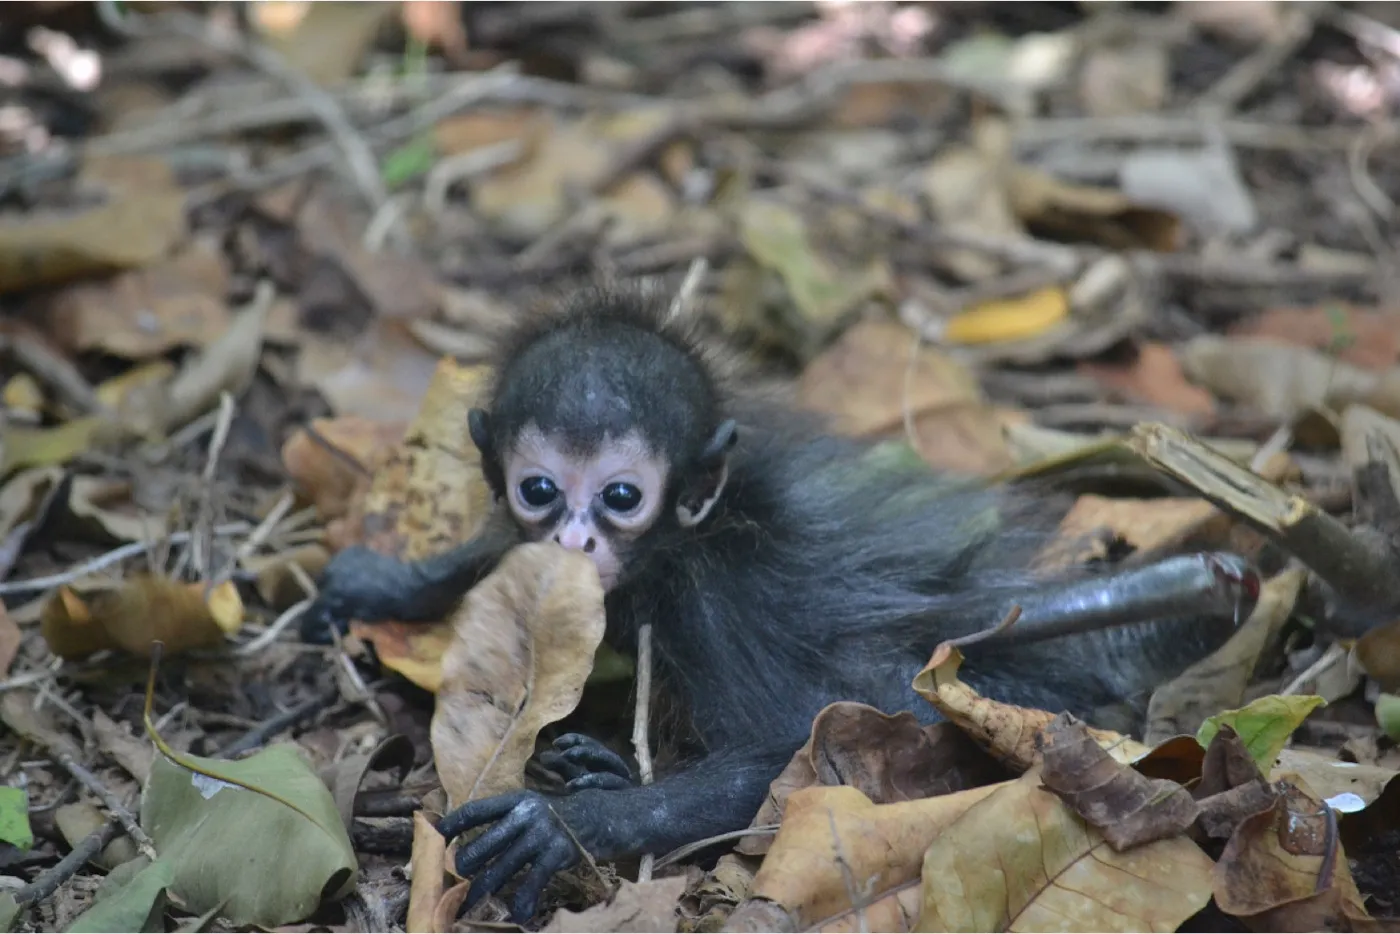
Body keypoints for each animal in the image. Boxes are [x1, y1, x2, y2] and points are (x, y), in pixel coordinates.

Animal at [299, 287, 1260, 923]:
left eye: (621, 497)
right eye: (540, 489)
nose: (575, 543)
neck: (682, 542)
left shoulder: (713, 597)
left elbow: (789, 747)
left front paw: (568, 825)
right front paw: (385, 583)